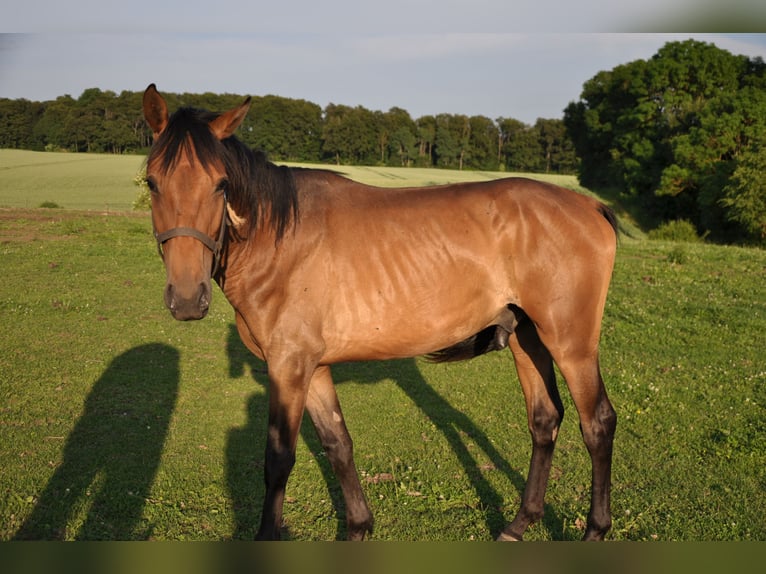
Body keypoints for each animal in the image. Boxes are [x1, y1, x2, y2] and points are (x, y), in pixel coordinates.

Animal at [141, 84, 618, 541]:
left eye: (221, 184)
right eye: (151, 182)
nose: (188, 297)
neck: (279, 240)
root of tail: (588, 206)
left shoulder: (288, 368)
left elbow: (278, 460)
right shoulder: (311, 368)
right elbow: (338, 444)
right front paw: (358, 526)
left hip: (570, 343)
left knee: (597, 424)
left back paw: (595, 530)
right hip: (527, 336)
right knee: (544, 420)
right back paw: (519, 524)